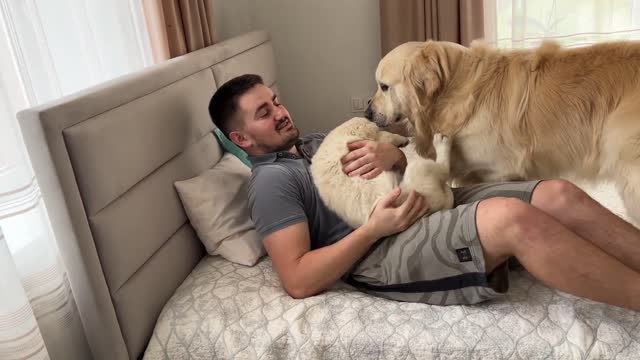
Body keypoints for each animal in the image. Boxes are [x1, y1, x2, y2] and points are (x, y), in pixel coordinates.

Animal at [312, 116, 456, 226]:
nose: (406, 141)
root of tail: (438, 202)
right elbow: (388, 138)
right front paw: (401, 139)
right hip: (418, 169)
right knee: (444, 169)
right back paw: (441, 143)